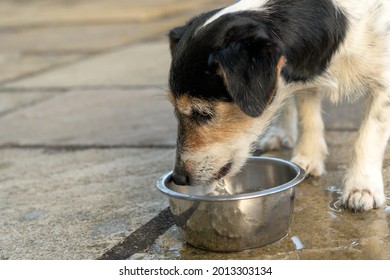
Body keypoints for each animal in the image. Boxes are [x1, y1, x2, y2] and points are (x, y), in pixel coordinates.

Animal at [166, 0, 388, 210]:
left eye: (202, 113)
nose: (179, 178)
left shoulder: (384, 83)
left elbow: (370, 133)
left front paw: (362, 188)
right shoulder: (302, 78)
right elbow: (308, 116)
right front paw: (308, 157)